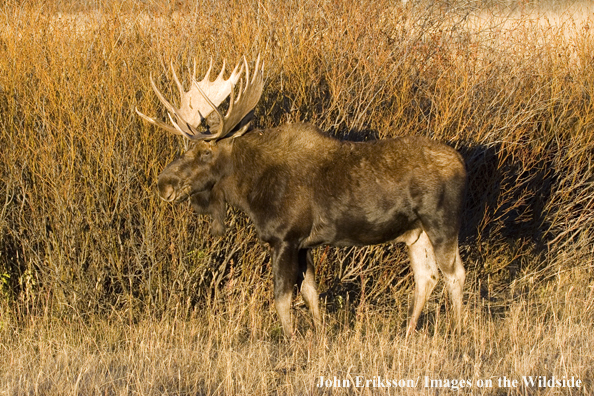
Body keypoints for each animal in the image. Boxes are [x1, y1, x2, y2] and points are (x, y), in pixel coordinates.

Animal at [136, 54, 464, 336]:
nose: (164, 183)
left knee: (454, 274)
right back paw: (408, 332)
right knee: (427, 276)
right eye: (186, 149)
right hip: (415, 233)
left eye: (206, 152)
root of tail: (462, 164)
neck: (251, 191)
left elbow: (281, 299)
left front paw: (291, 340)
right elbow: (311, 294)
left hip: (441, 223)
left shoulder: (285, 238)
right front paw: (319, 337)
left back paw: (457, 331)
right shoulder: (305, 244)